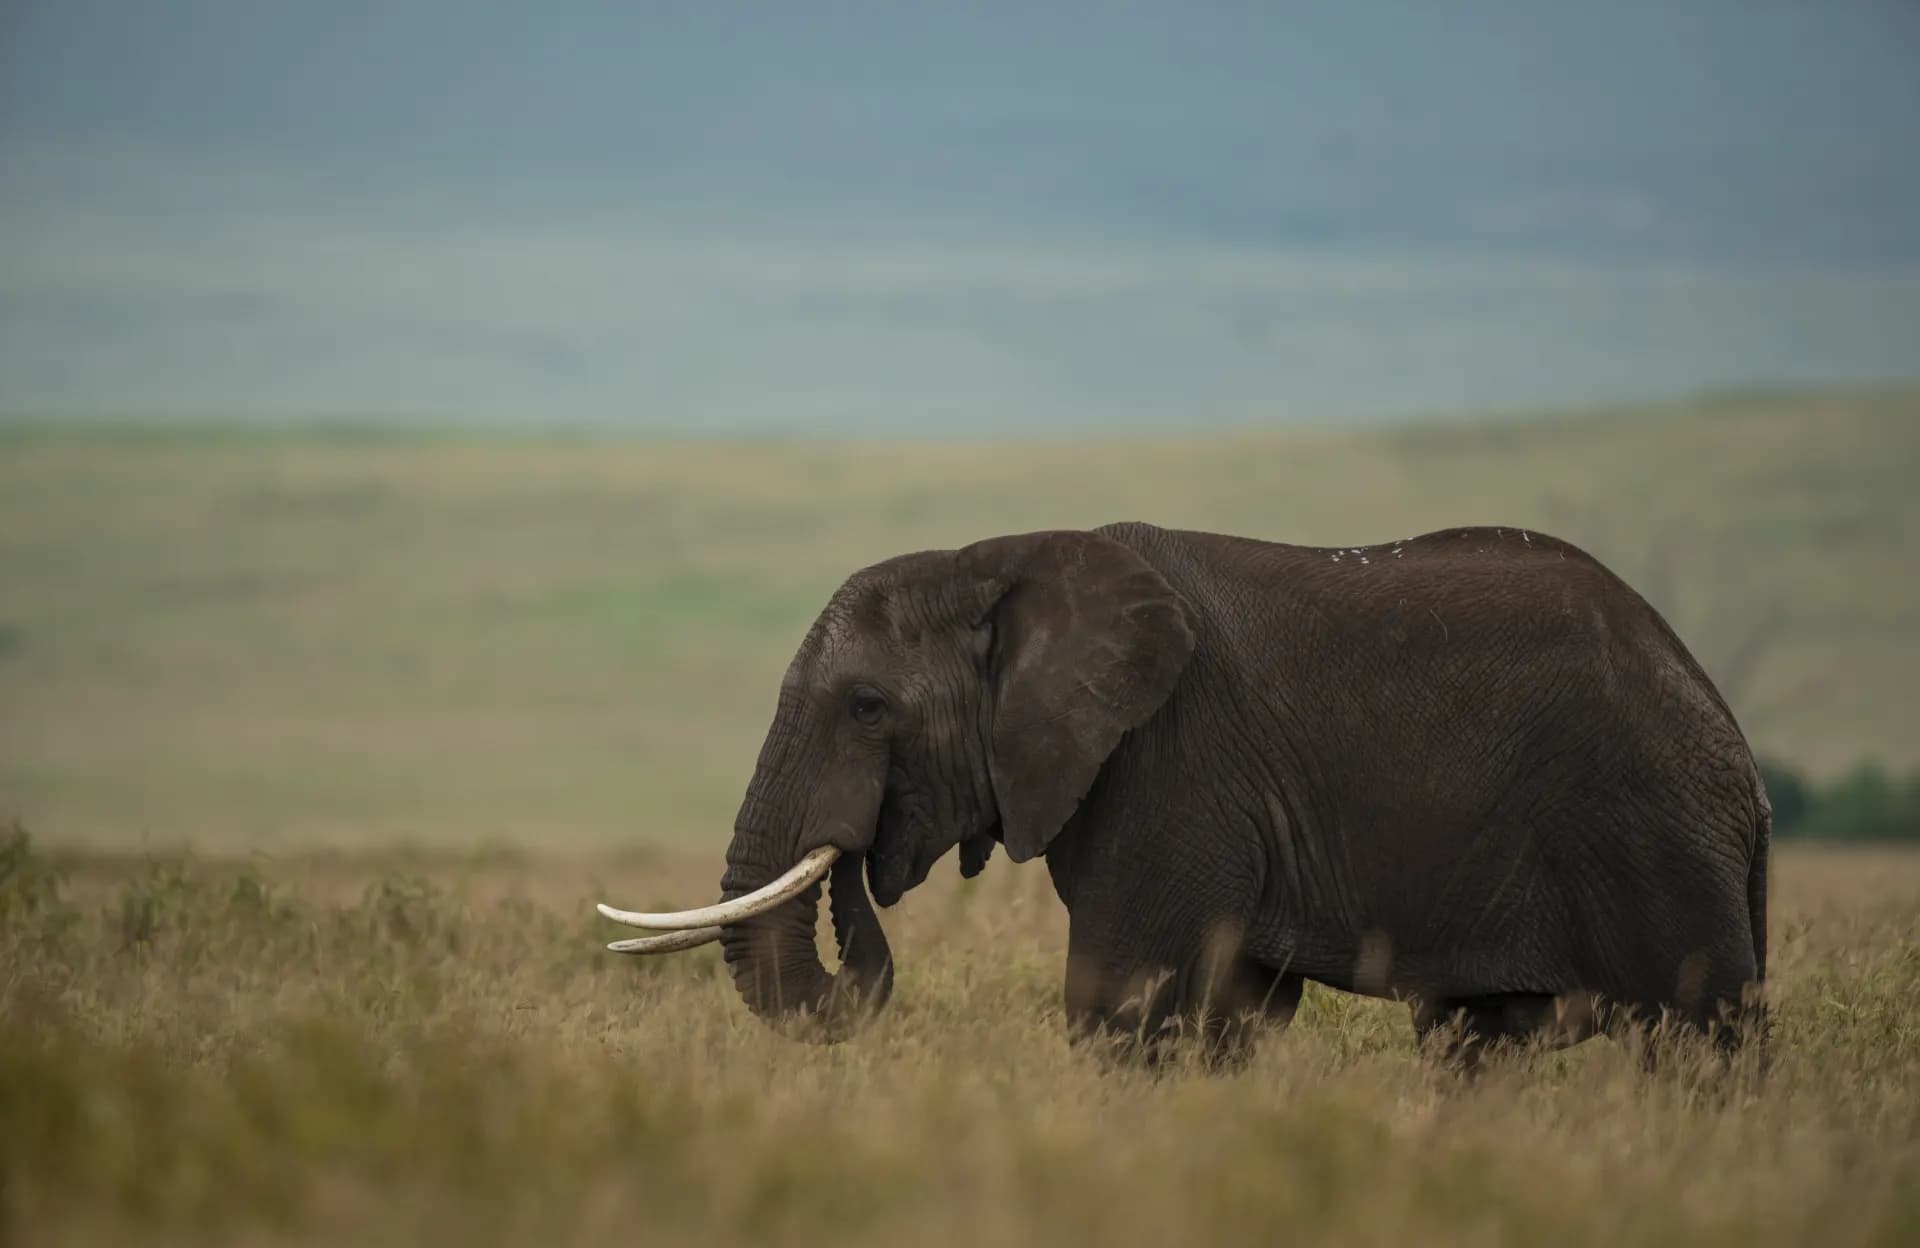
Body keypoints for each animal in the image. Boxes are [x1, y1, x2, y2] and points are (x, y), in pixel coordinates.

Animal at [599, 522, 1770, 1066]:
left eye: (870, 707)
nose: (858, 864)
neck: (1001, 554)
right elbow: (1228, 1013)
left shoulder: (1170, 769)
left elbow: (1119, 1001)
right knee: (1475, 1041)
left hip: (1652, 831)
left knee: (1700, 1036)